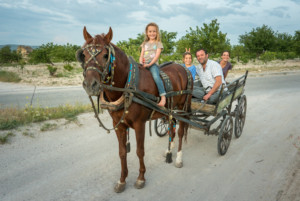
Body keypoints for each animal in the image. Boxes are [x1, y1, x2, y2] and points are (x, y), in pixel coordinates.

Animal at [78, 25, 192, 192]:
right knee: (171, 127)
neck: (127, 85)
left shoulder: (140, 124)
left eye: (105, 55)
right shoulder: (118, 125)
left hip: (182, 107)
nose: (90, 85)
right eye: (84, 55)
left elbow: (140, 151)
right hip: (169, 110)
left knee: (181, 131)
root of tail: (183, 68)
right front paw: (122, 180)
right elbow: (122, 152)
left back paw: (178, 157)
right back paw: (169, 152)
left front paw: (141, 178)